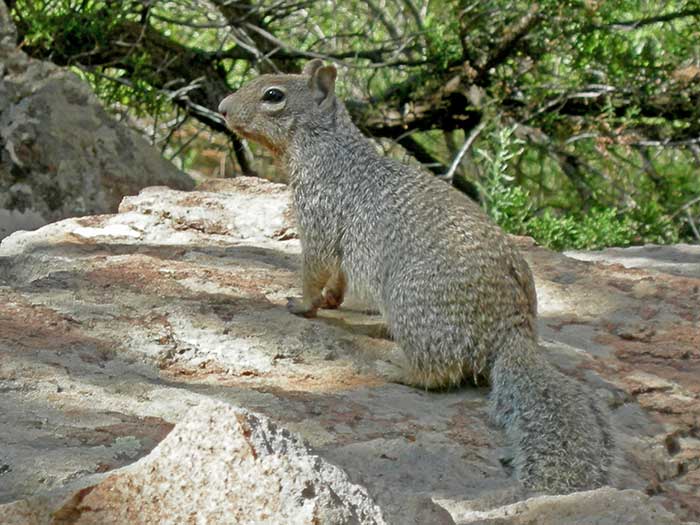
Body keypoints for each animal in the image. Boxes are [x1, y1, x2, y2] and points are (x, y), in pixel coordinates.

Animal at [218, 59, 613, 494]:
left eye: (273, 95)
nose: (221, 108)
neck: (330, 150)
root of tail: (513, 329)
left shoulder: (318, 217)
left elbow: (314, 269)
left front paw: (301, 304)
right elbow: (337, 276)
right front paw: (333, 301)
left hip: (411, 304)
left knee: (439, 372)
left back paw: (395, 369)